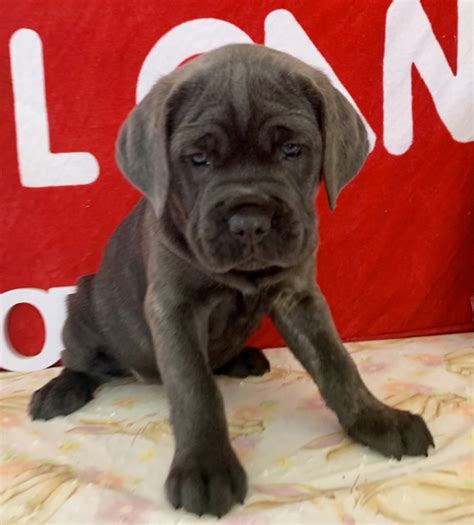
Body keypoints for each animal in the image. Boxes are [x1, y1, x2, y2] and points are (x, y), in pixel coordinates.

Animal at [29, 44, 436, 516]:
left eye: (291, 149)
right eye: (198, 159)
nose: (250, 222)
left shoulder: (299, 296)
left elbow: (337, 364)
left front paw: (376, 418)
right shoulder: (173, 307)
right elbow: (195, 387)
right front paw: (205, 468)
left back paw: (242, 358)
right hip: (80, 305)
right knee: (79, 361)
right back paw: (61, 390)